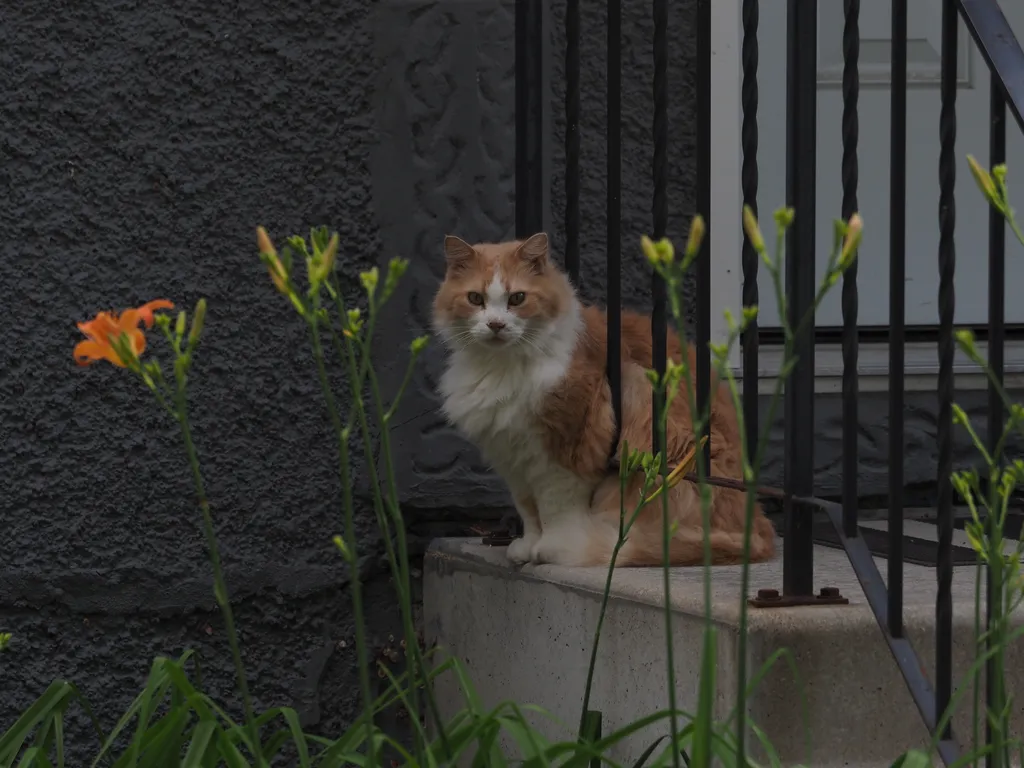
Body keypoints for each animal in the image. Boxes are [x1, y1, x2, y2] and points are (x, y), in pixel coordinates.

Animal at [432, 231, 774, 569]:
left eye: (517, 298)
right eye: (476, 299)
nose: (496, 325)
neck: (502, 366)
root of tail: (759, 532)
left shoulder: (562, 453)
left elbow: (555, 510)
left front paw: (552, 549)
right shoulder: (513, 457)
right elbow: (529, 512)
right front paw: (527, 547)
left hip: (641, 392)